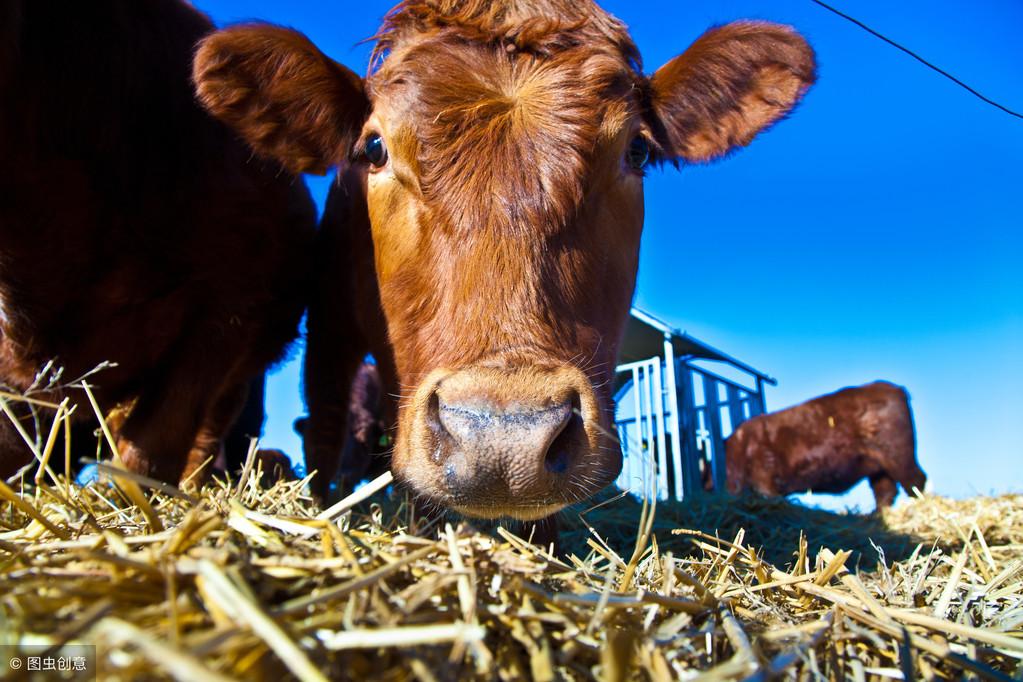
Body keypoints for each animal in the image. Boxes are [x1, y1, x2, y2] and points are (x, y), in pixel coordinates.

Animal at [728, 382, 928, 509]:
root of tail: (896, 389)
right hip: (878, 464)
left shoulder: (764, 475)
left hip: (898, 451)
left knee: (915, 480)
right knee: (886, 491)